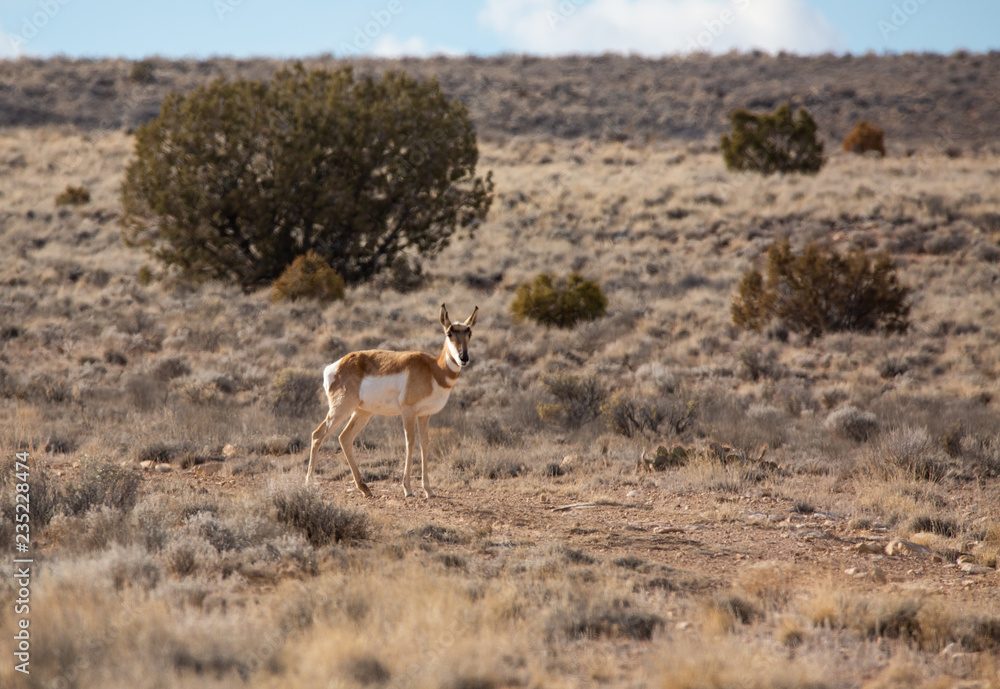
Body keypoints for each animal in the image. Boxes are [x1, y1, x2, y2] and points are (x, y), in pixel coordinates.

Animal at [305, 304, 478, 498]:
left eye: (469, 333)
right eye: (449, 333)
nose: (464, 358)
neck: (434, 369)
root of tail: (335, 366)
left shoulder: (424, 415)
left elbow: (424, 444)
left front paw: (428, 490)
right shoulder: (408, 412)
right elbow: (410, 442)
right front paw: (408, 489)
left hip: (362, 413)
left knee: (345, 438)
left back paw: (365, 488)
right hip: (341, 410)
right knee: (318, 434)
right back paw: (309, 484)